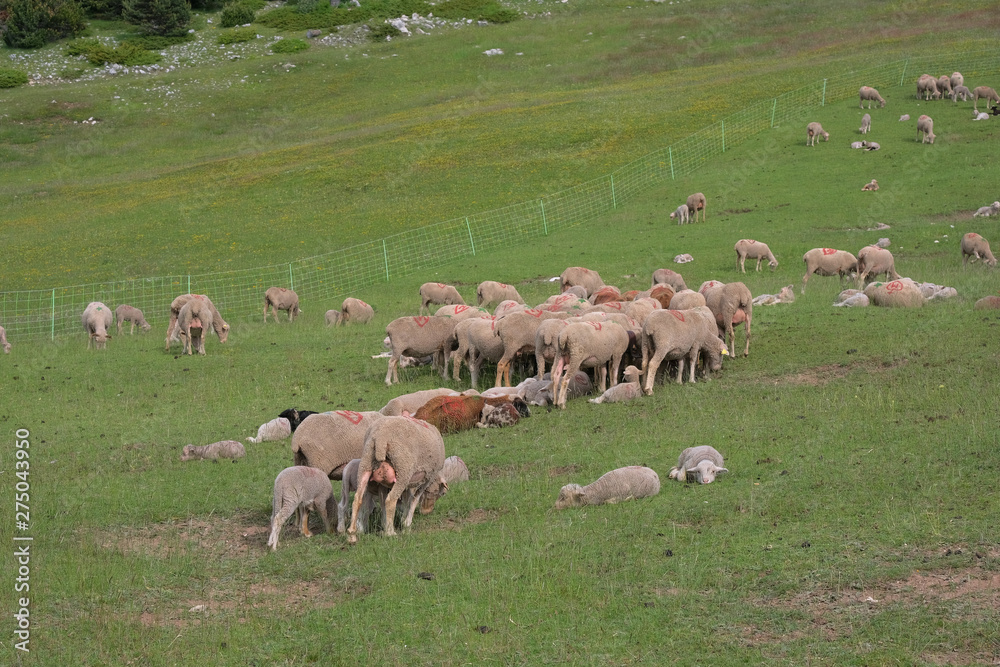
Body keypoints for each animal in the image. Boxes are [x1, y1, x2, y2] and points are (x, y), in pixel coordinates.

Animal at [347, 415, 446, 543]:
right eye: (441, 493)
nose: (427, 512)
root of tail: (380, 436)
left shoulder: (394, 485)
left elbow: (402, 500)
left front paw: (392, 523)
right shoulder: (427, 478)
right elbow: (414, 500)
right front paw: (406, 525)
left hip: (366, 462)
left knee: (357, 499)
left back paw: (352, 535)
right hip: (403, 468)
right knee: (391, 500)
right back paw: (390, 533)